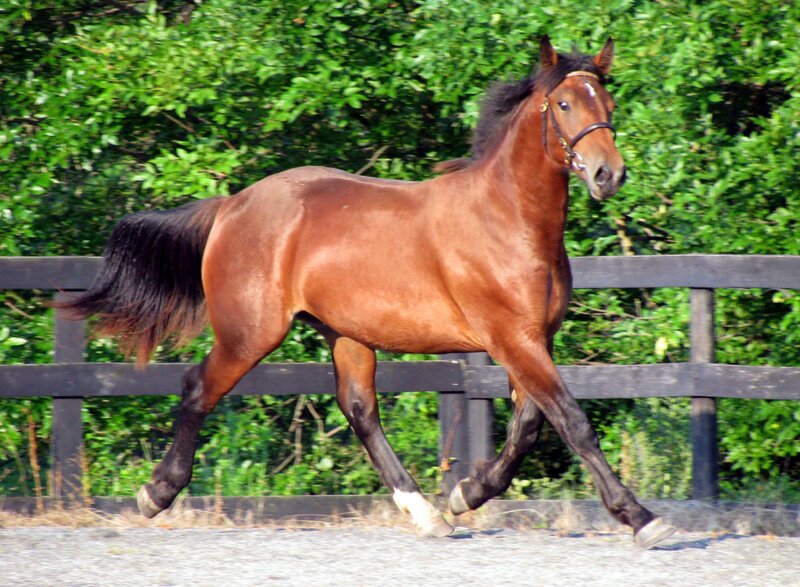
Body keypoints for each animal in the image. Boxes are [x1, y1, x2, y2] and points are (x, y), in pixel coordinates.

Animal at [59, 36, 676, 548]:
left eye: (608, 104)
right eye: (565, 105)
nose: (608, 174)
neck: (508, 221)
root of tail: (232, 206)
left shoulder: (532, 341)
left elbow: (528, 428)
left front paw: (464, 495)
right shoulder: (512, 339)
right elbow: (571, 421)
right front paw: (642, 519)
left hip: (346, 335)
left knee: (359, 410)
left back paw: (427, 513)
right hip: (250, 333)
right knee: (197, 389)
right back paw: (155, 493)